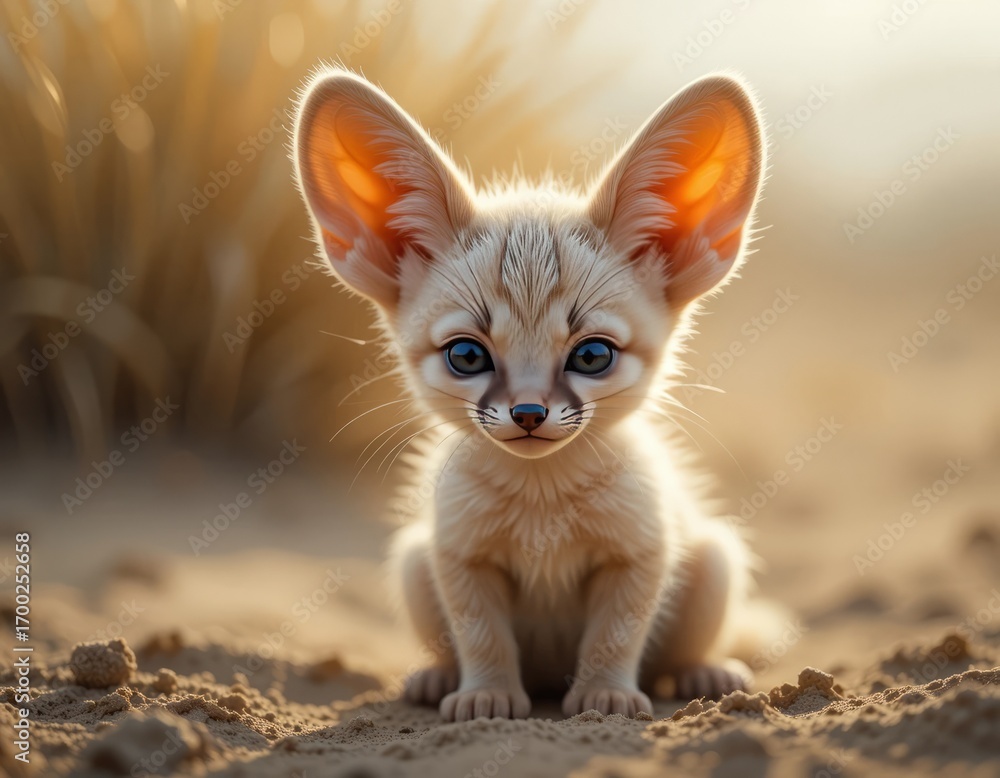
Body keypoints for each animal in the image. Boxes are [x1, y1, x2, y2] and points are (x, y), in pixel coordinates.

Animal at [293, 68, 767, 722]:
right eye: (467, 356)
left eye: (592, 356)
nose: (528, 413)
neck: (542, 502)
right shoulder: (459, 556)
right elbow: (480, 634)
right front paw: (485, 696)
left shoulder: (639, 554)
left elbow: (616, 633)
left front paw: (604, 697)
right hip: (412, 559)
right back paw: (437, 678)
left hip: (715, 559)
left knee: (686, 646)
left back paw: (704, 671)